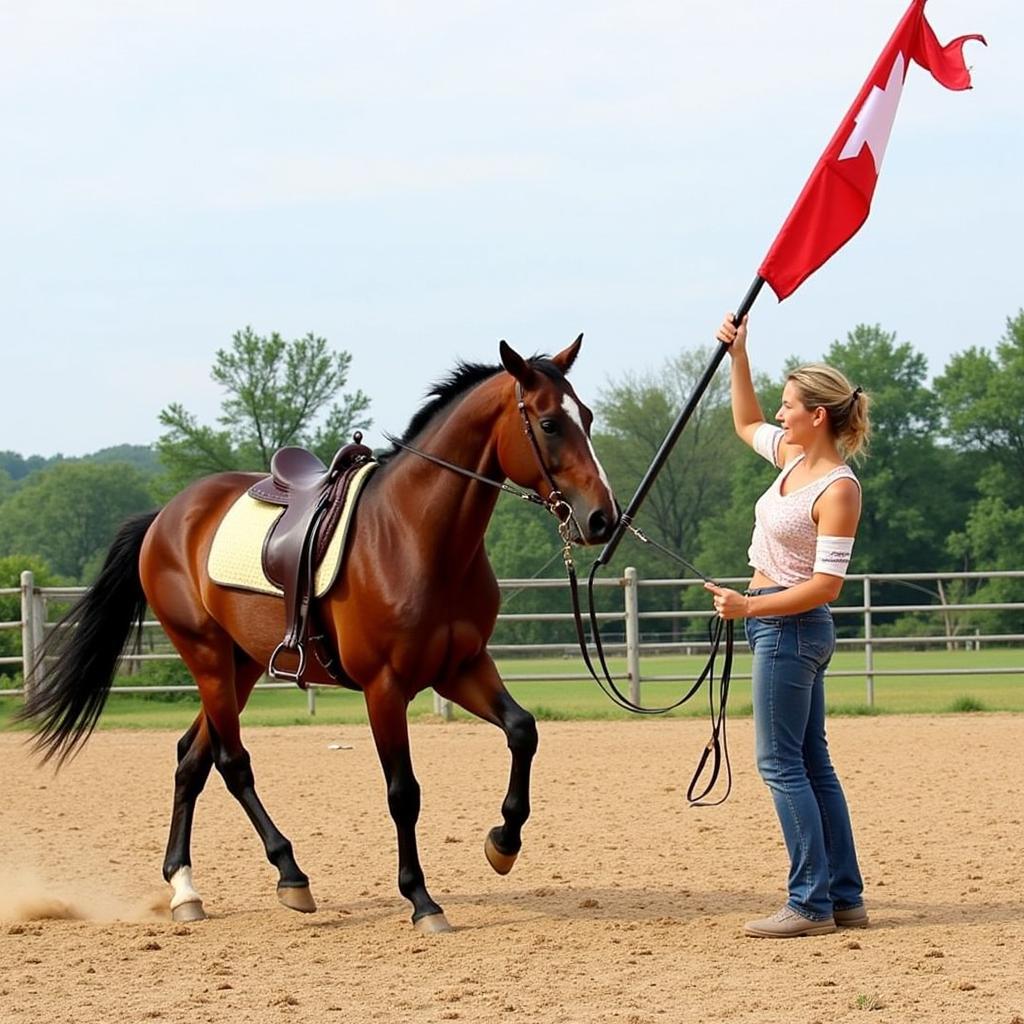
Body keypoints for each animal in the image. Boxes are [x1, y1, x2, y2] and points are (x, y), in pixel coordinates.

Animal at [22, 337, 614, 937]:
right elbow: (404, 793)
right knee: (232, 763)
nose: (602, 519)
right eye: (548, 423)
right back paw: (290, 875)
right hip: (207, 658)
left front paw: (503, 843)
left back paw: (185, 889)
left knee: (192, 758)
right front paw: (421, 899)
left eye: (587, 417)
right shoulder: (385, 688)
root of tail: (167, 514)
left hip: (241, 666)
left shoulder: (461, 668)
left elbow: (523, 730)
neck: (414, 535)